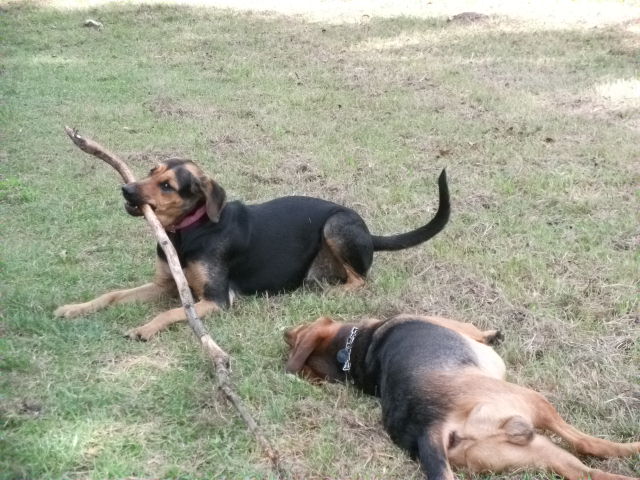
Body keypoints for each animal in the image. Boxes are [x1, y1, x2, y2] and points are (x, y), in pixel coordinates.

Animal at [56, 159, 450, 340]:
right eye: (152, 171)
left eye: (167, 185)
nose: (126, 190)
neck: (190, 231)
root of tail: (370, 233)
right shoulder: (165, 284)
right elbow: (111, 295)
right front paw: (73, 308)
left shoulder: (217, 300)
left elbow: (172, 312)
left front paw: (146, 327)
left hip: (336, 224)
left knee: (360, 280)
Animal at [284, 316, 640, 480]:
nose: (285, 332)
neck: (359, 349)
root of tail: (430, 426)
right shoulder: (455, 323)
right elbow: (477, 330)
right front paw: (492, 334)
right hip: (532, 403)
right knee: (587, 443)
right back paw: (632, 448)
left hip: (533, 450)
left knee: (586, 471)